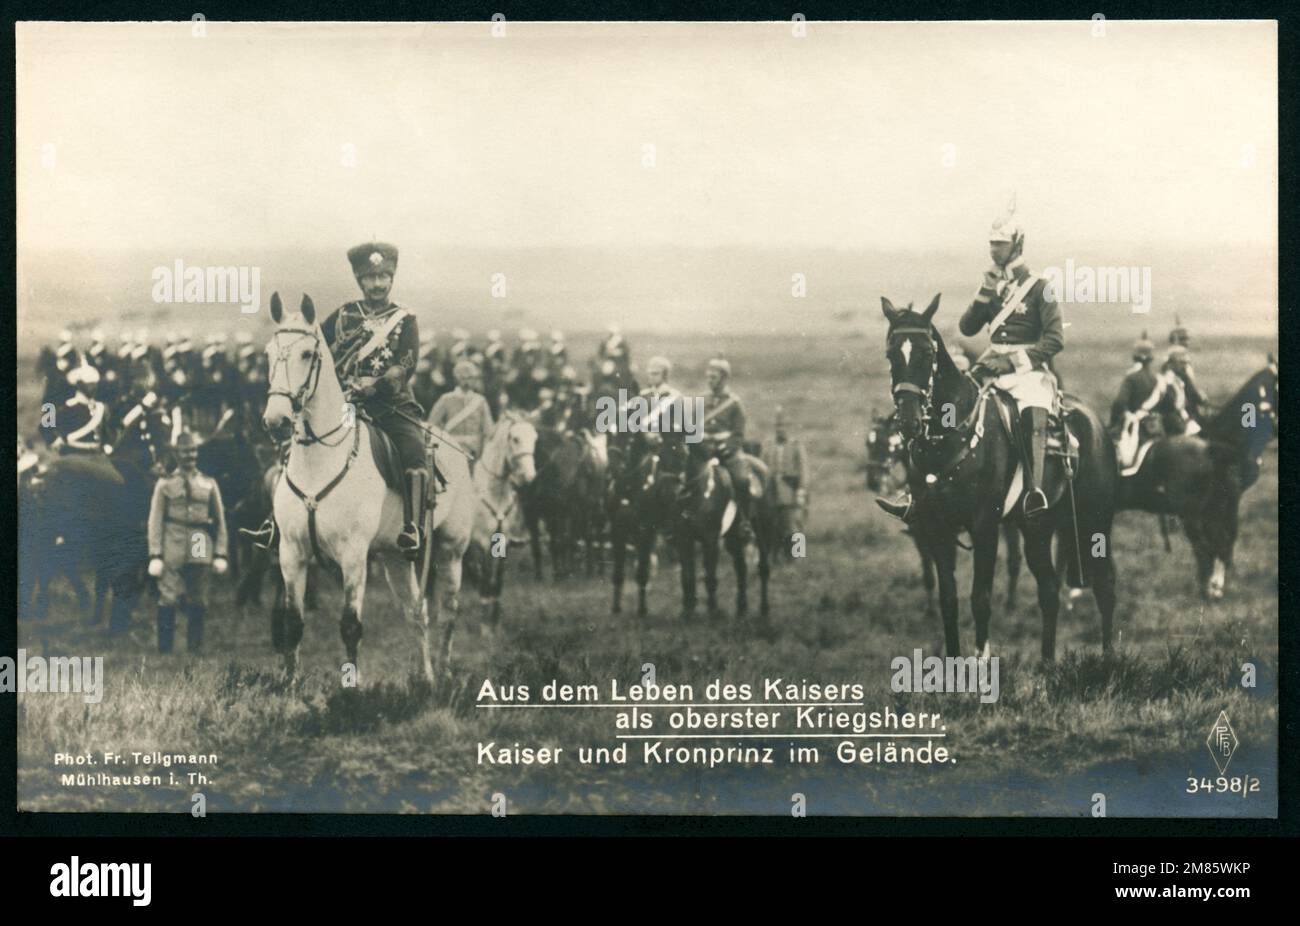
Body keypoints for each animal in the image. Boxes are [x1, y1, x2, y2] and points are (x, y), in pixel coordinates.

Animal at [261, 292, 470, 681]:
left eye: (307, 354)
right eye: (268, 352)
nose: (276, 420)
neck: (319, 461)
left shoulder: (354, 555)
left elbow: (350, 626)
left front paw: (350, 687)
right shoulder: (292, 553)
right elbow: (293, 623)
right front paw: (289, 684)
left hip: (450, 550)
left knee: (448, 612)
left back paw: (445, 672)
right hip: (394, 558)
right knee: (416, 613)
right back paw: (425, 678)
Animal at [467, 410, 538, 629]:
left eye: (535, 438)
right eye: (515, 438)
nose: (529, 477)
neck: (495, 494)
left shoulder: (503, 545)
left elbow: (496, 585)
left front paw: (495, 624)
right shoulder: (481, 545)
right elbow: (485, 586)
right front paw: (484, 627)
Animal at [883, 292, 1118, 660]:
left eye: (927, 354)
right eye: (891, 354)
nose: (908, 421)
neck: (951, 437)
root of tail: (1093, 421)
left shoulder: (985, 527)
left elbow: (980, 599)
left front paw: (981, 664)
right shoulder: (936, 527)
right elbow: (948, 600)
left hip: (1095, 522)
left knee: (1104, 588)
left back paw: (1107, 658)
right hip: (1038, 527)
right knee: (1049, 591)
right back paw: (1047, 663)